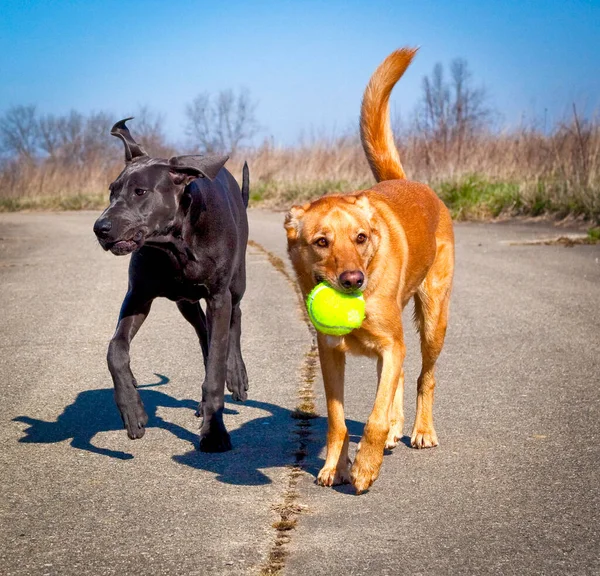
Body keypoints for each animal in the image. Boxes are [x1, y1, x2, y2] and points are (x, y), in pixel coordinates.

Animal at [92, 119, 247, 452]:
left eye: (140, 191)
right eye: (112, 192)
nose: (100, 228)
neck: (173, 243)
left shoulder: (218, 297)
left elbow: (215, 371)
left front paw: (214, 433)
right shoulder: (138, 296)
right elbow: (115, 349)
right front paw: (131, 409)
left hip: (236, 284)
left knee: (234, 321)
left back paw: (237, 376)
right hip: (185, 301)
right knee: (204, 334)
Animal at [284, 47, 452, 492]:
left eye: (360, 238)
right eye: (321, 242)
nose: (353, 281)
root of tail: (408, 181)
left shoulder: (391, 344)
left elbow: (373, 418)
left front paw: (364, 467)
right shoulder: (330, 354)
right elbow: (338, 421)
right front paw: (336, 466)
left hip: (434, 318)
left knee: (424, 376)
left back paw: (420, 430)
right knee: (400, 377)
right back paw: (396, 429)